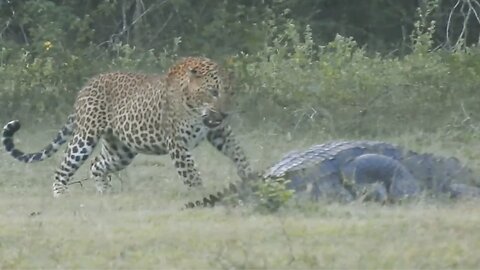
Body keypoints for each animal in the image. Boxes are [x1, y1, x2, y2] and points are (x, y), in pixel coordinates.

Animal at [0, 56, 255, 196]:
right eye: (213, 92)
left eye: (231, 92)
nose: (225, 113)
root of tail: (84, 87)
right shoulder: (177, 143)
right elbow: (191, 174)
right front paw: (201, 195)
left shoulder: (220, 132)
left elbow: (239, 153)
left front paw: (251, 178)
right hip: (86, 136)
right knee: (64, 166)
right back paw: (62, 196)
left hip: (120, 150)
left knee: (96, 164)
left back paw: (105, 194)